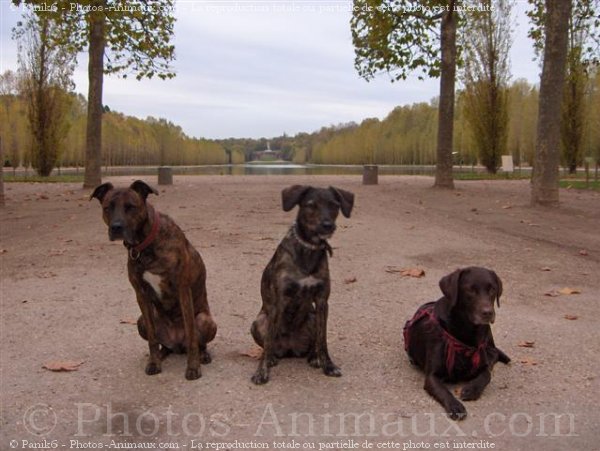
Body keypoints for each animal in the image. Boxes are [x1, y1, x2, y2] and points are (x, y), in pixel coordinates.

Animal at [90, 180, 217, 382]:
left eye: (131, 207)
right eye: (107, 207)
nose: (116, 227)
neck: (144, 246)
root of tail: (176, 343)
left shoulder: (183, 290)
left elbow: (191, 336)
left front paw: (193, 367)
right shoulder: (141, 295)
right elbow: (151, 338)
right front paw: (154, 363)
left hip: (205, 320)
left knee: (198, 342)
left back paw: (203, 355)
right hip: (140, 321)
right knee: (161, 344)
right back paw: (161, 354)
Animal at [251, 185, 354, 386]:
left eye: (334, 205)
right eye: (310, 205)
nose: (327, 225)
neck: (309, 249)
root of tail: (290, 349)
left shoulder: (322, 302)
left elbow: (323, 339)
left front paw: (328, 365)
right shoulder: (278, 302)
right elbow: (268, 343)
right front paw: (261, 372)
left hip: (312, 317)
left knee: (314, 343)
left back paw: (314, 357)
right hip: (259, 321)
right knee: (269, 345)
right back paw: (272, 358)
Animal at [406, 268, 508, 420]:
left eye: (492, 289)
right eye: (470, 289)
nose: (488, 313)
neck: (466, 331)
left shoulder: (481, 363)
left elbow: (486, 376)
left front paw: (471, 389)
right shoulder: (431, 376)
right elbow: (443, 391)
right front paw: (455, 405)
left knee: (494, 353)